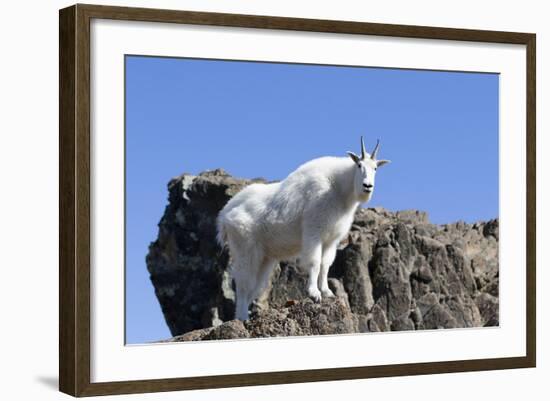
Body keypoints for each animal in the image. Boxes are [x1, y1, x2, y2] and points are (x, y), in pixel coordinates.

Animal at [217, 138, 392, 318]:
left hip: (265, 257)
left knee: (255, 285)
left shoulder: (331, 239)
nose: (367, 186)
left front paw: (327, 292)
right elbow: (315, 262)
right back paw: (242, 317)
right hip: (245, 248)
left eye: (375, 168)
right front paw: (314, 293)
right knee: (243, 283)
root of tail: (225, 215)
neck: (338, 188)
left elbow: (326, 264)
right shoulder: (313, 231)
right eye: (359, 165)